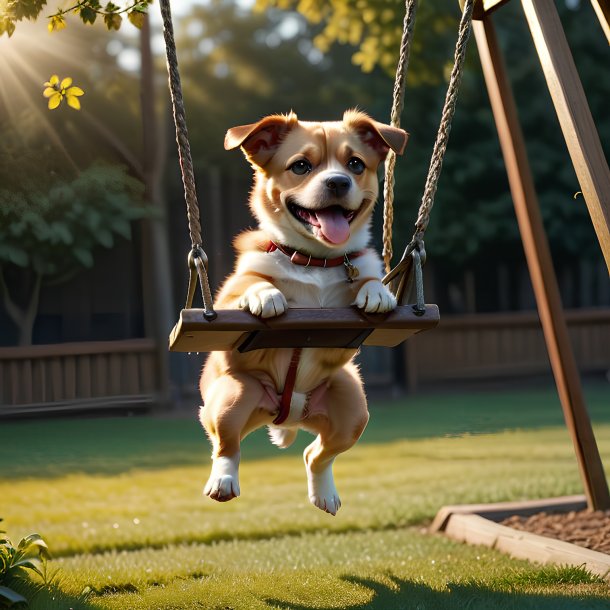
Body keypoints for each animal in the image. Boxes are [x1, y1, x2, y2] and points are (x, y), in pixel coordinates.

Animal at [200, 108, 406, 512]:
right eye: (301, 166)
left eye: (355, 164)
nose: (339, 182)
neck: (316, 262)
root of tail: (287, 415)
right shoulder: (226, 297)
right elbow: (251, 284)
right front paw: (267, 296)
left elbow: (369, 278)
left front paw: (378, 294)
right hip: (234, 395)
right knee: (227, 447)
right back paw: (223, 481)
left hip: (351, 405)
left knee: (318, 454)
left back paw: (324, 493)